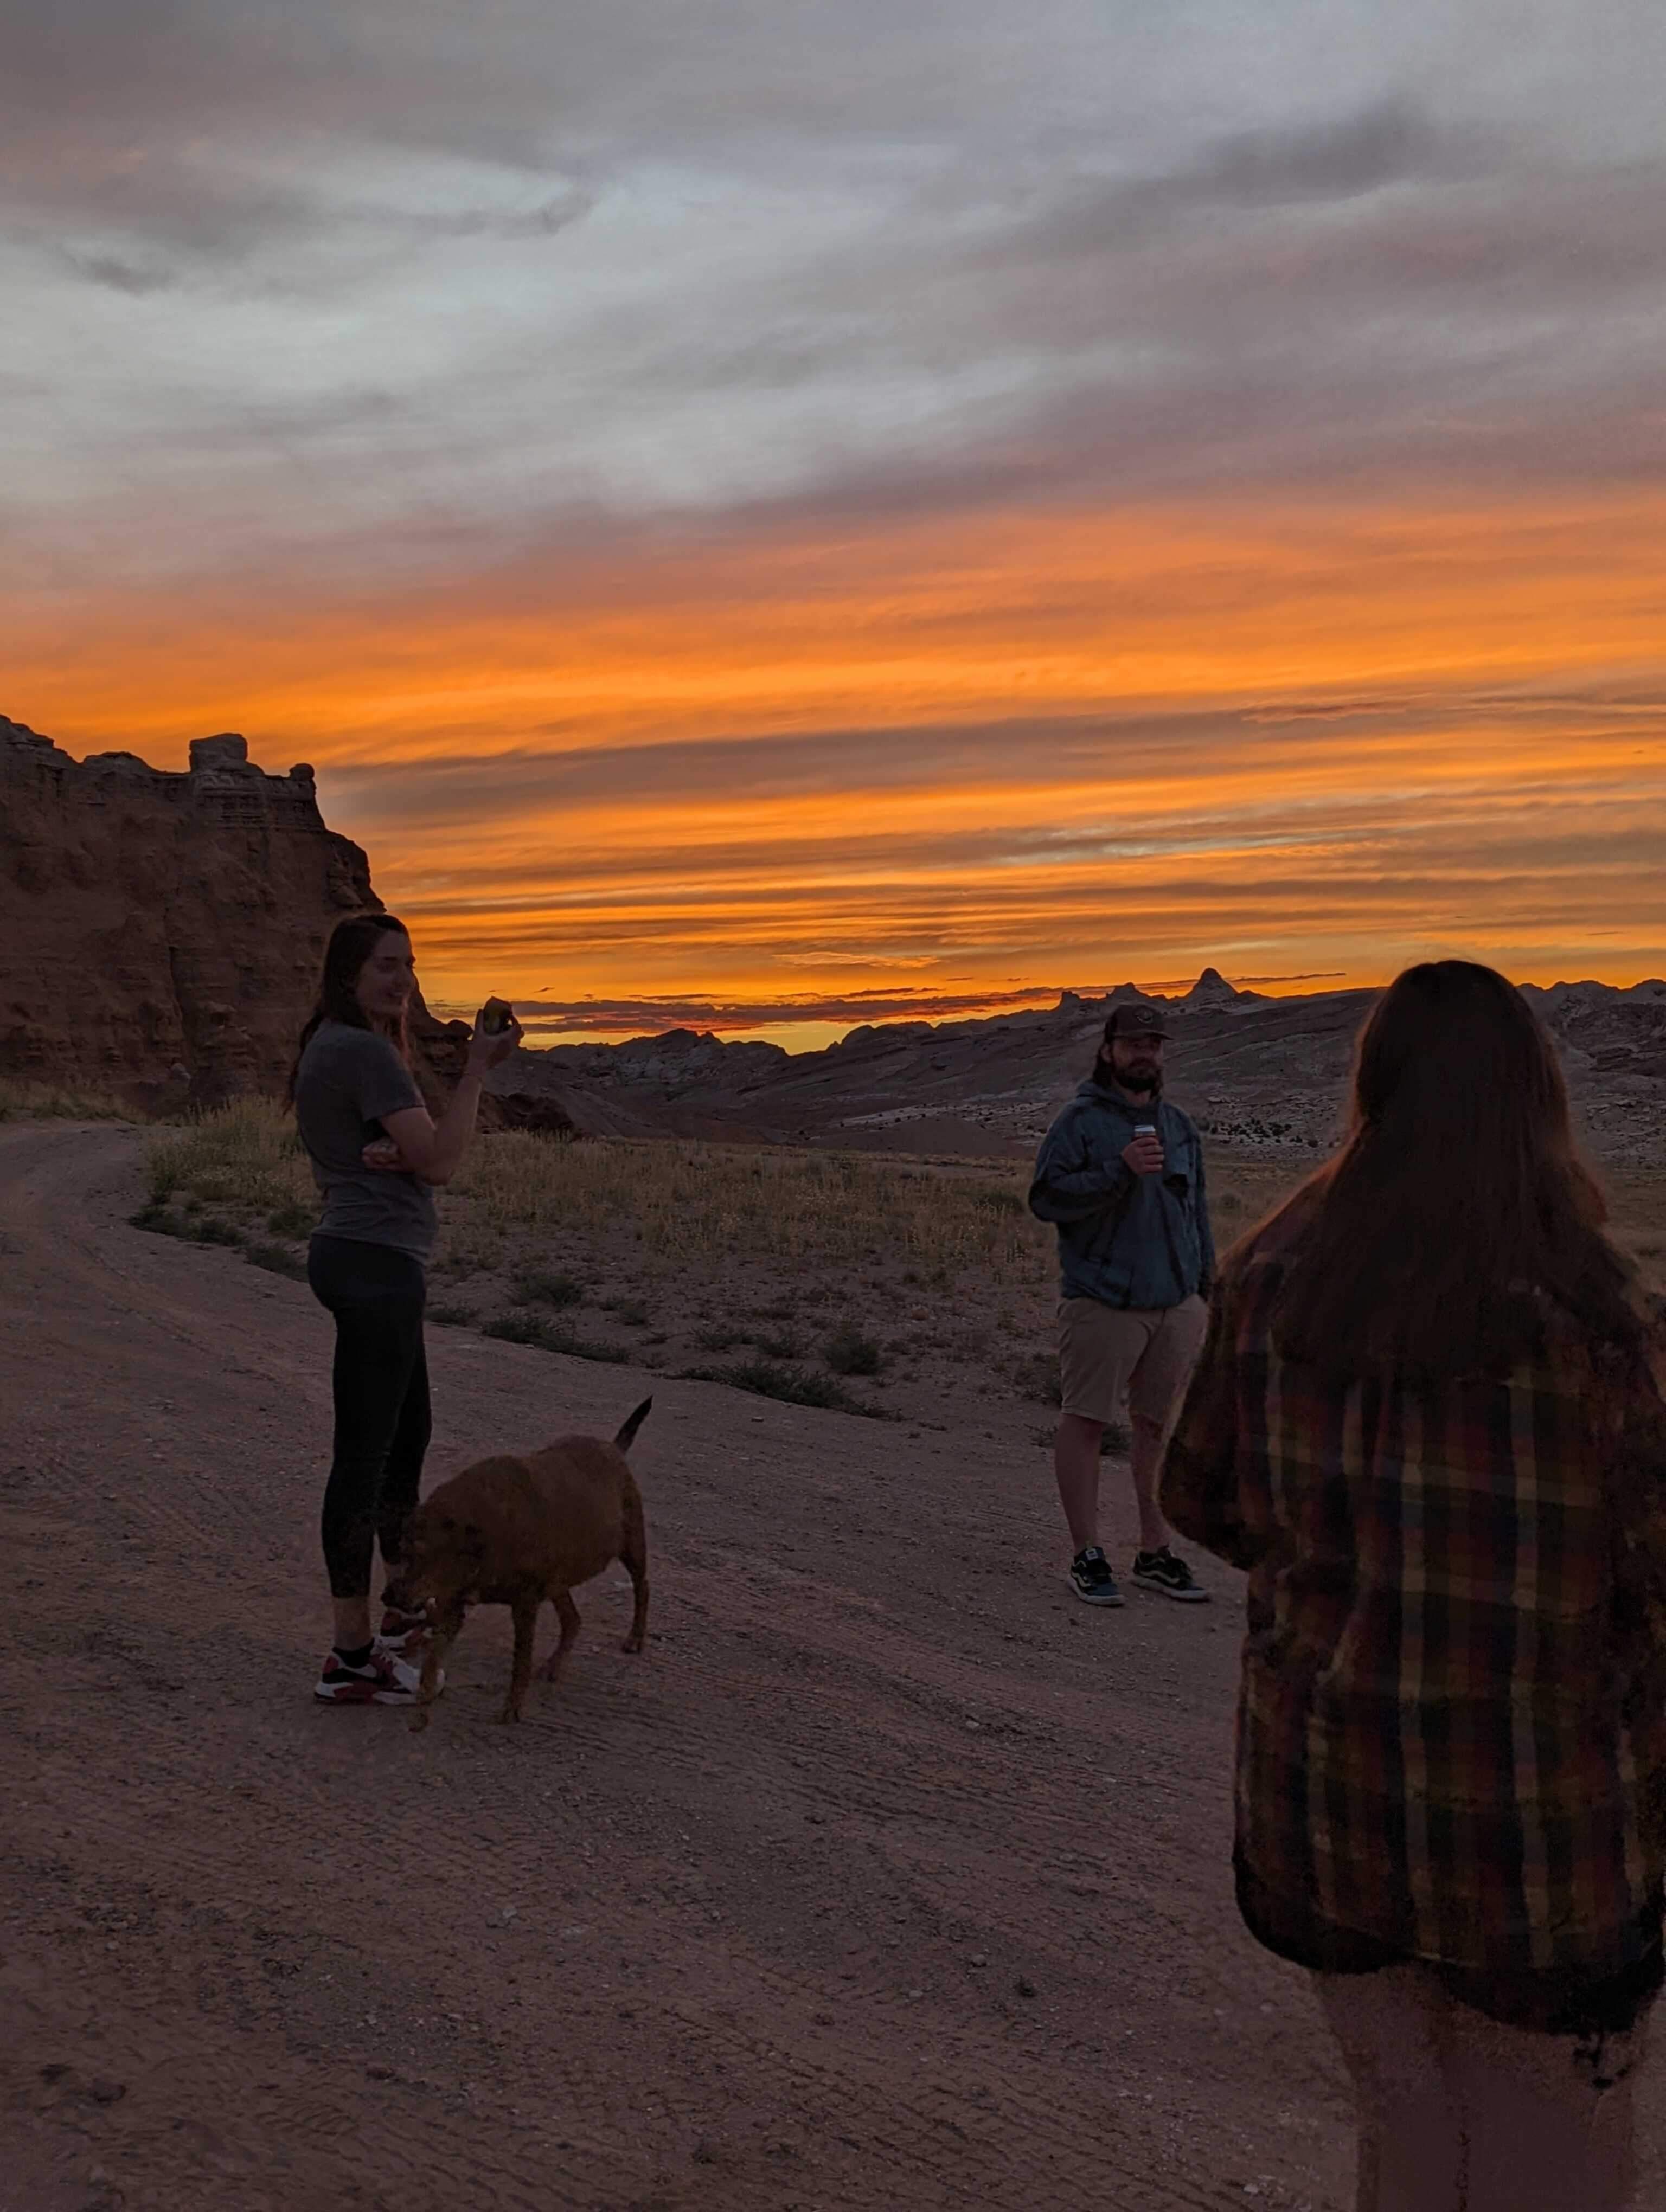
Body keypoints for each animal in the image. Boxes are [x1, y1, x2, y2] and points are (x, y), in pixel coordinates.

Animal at [387, 1398, 655, 1725]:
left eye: (420, 1554)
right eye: (402, 1550)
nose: (387, 1596)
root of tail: (614, 1448)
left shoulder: (524, 1605)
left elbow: (521, 1662)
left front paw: (512, 1706)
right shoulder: (454, 1604)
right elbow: (435, 1653)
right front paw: (424, 1691)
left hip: (632, 1546)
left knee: (642, 1587)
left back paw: (635, 1637)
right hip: (557, 1580)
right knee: (572, 1620)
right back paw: (554, 1665)